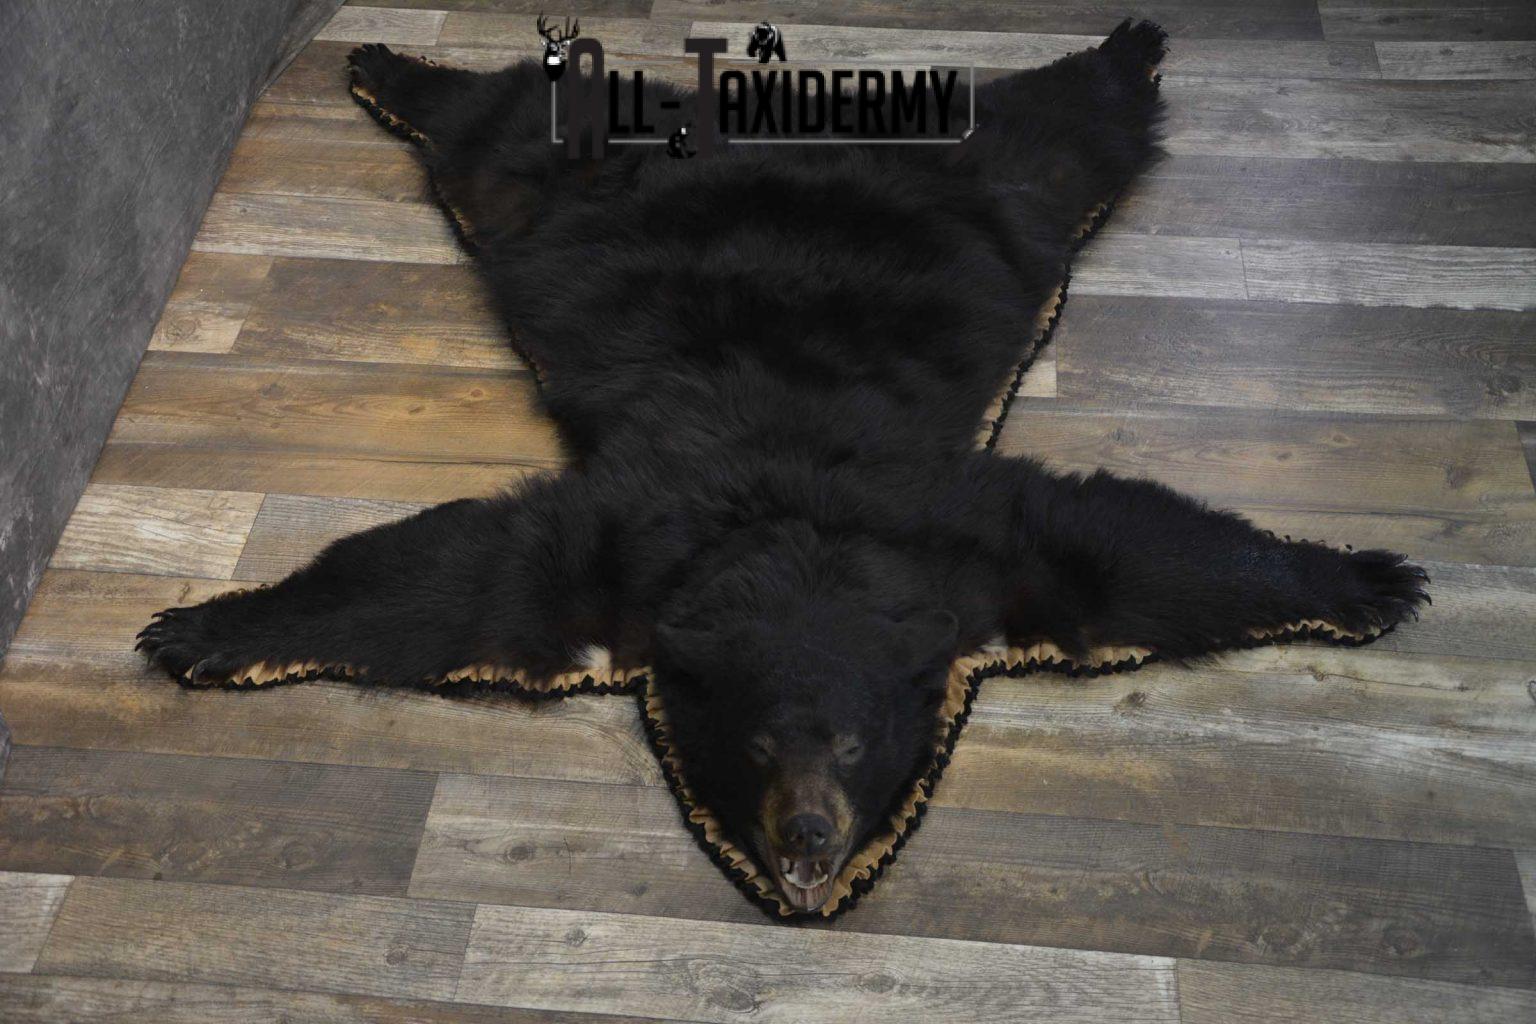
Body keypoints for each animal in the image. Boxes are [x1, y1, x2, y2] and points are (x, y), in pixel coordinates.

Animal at [137, 21, 1429, 916]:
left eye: (851, 741)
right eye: (760, 742)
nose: (808, 835)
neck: (794, 549)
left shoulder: (962, 546)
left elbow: (1125, 552)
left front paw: (1365, 575)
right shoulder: (628, 549)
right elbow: (452, 576)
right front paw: (205, 623)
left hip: (990, 191)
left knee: (1055, 132)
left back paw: (1132, 41)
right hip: (562, 187)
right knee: (505, 127)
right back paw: (385, 62)